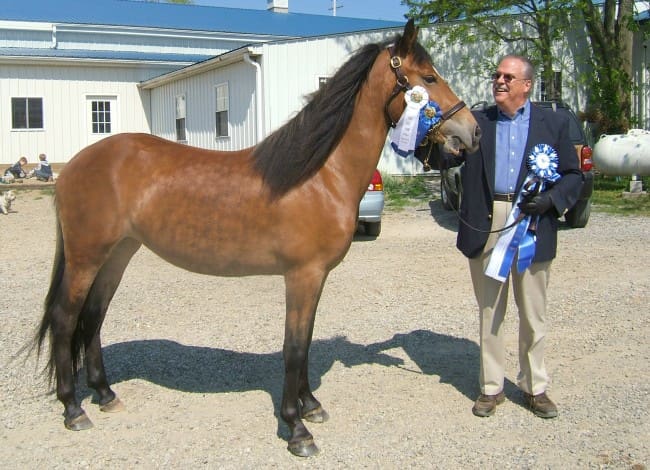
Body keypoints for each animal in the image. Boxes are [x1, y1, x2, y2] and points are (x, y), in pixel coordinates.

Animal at [33, 20, 478, 458]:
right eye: (428, 78)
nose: (471, 133)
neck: (319, 175)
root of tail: (75, 165)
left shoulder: (315, 278)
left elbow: (306, 341)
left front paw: (310, 405)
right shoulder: (302, 276)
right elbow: (294, 347)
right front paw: (297, 428)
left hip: (118, 253)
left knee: (93, 317)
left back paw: (105, 394)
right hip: (86, 257)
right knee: (65, 318)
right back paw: (73, 409)